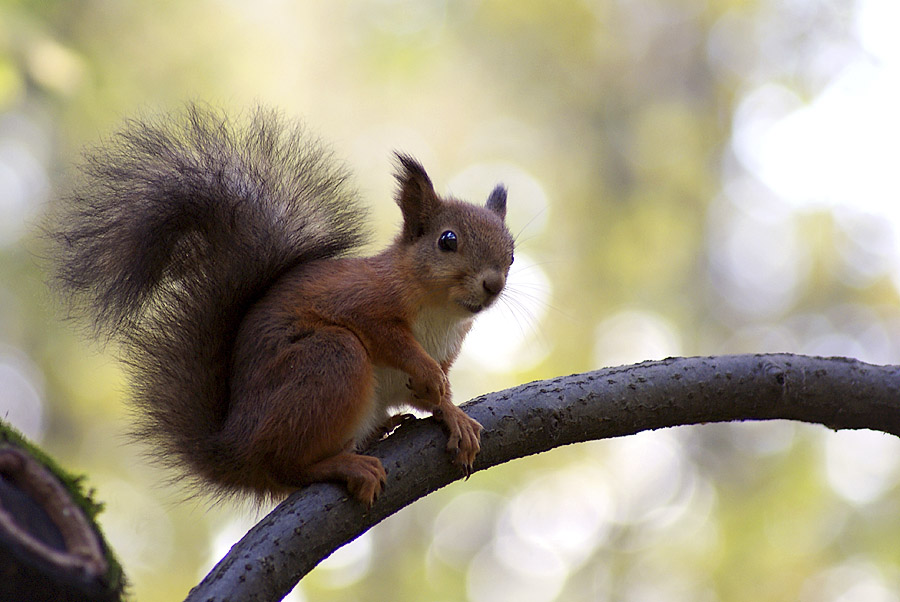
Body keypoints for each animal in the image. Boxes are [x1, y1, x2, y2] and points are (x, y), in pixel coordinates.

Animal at [51, 105, 512, 504]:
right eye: (447, 240)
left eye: (510, 253)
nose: (493, 284)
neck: (440, 314)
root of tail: (234, 449)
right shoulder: (364, 300)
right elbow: (389, 339)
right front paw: (430, 377)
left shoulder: (446, 350)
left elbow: (431, 396)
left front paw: (452, 414)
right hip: (328, 361)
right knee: (287, 467)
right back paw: (343, 465)